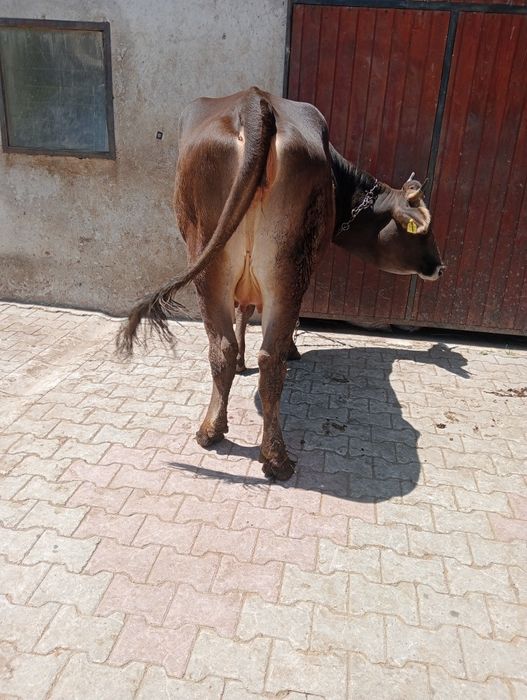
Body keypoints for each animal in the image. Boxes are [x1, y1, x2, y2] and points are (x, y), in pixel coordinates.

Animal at [117, 87, 444, 481]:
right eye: (422, 232)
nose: (440, 266)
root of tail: (254, 101)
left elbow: (243, 314)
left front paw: (243, 361)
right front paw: (291, 348)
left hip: (209, 260)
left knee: (224, 349)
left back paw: (215, 431)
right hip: (286, 266)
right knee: (269, 358)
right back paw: (274, 456)